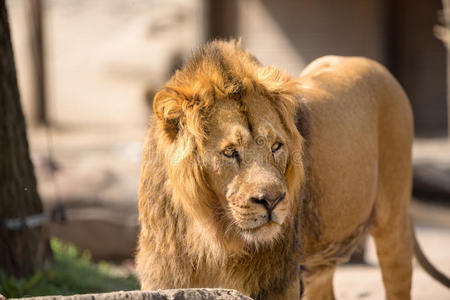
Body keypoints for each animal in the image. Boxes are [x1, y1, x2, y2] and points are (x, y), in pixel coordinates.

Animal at [137, 40, 450, 300]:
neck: (210, 236)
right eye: (230, 152)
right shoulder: (163, 280)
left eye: (276, 146)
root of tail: (372, 64)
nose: (272, 201)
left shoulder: (278, 283)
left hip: (392, 219)